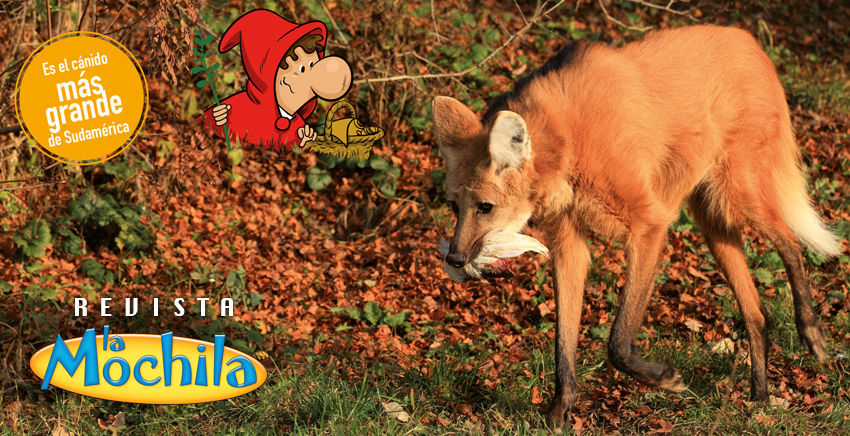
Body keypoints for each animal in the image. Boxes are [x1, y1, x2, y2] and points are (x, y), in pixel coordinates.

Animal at [432, 25, 841, 427]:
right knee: (756, 313)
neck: (568, 142)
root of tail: (750, 40)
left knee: (790, 242)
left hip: (739, 198)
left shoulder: (649, 224)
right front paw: (559, 413)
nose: (454, 259)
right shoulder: (568, 244)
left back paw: (812, 333)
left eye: (485, 207)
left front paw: (665, 379)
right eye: (454, 206)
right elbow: (564, 341)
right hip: (713, 223)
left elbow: (618, 339)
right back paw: (760, 398)